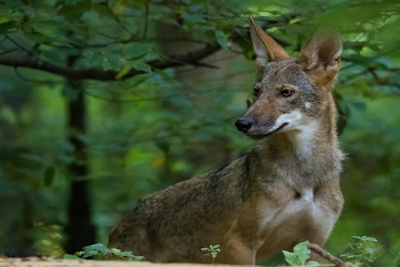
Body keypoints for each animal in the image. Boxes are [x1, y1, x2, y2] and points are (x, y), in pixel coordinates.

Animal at [108, 17, 344, 266]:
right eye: (257, 91)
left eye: (286, 92)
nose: (242, 123)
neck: (305, 174)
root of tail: (117, 225)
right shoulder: (240, 244)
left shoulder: (314, 245)